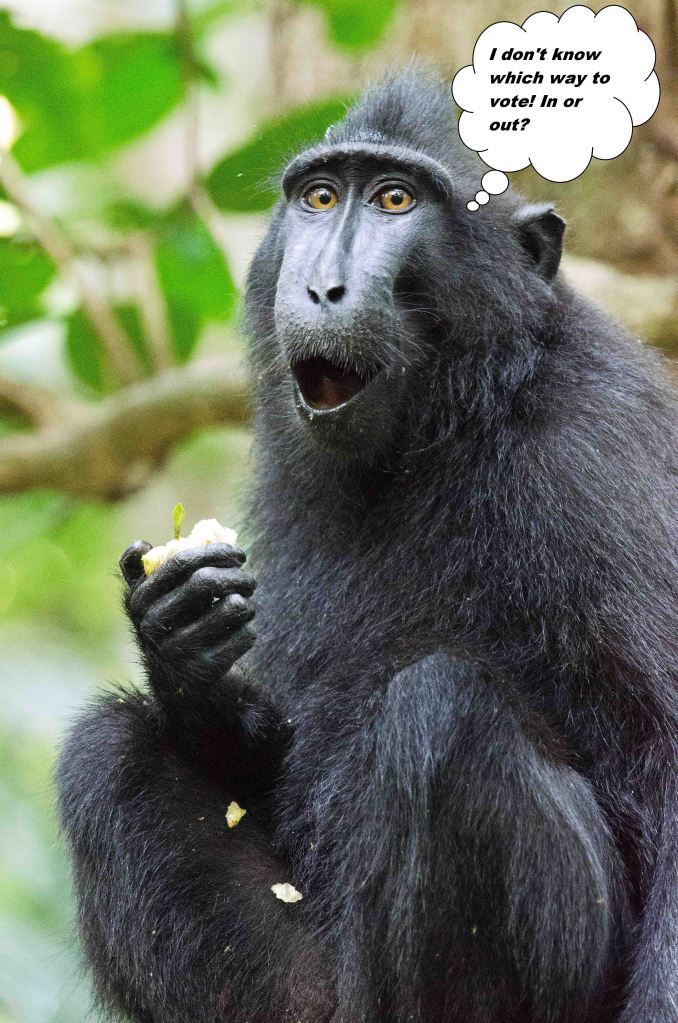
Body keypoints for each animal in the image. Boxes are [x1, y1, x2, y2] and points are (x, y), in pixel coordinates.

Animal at [57, 70, 678, 1023]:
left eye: (395, 200)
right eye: (319, 198)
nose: (321, 288)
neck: (451, 421)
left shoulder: (597, 454)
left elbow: (665, 760)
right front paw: (178, 634)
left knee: (440, 709)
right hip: (315, 989)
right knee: (104, 750)